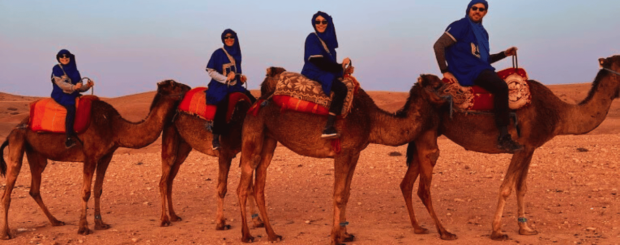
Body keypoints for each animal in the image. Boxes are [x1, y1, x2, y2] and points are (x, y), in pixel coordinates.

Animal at [0, 80, 189, 239]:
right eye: (174, 84)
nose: (188, 87)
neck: (115, 127)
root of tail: (14, 128)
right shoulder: (89, 156)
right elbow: (86, 191)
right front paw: (83, 228)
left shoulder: (106, 156)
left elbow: (98, 189)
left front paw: (100, 224)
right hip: (18, 142)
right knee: (8, 187)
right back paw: (6, 233)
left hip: (36, 154)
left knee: (34, 188)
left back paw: (55, 221)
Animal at [157, 93, 264, 230]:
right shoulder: (224, 153)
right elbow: (222, 188)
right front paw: (221, 223)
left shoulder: (245, 151)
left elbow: (248, 186)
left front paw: (257, 221)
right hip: (170, 136)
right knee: (164, 180)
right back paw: (164, 219)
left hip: (183, 146)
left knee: (170, 178)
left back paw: (174, 216)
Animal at [236, 67, 446, 245]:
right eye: (436, 84)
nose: (450, 94)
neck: (372, 120)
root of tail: (257, 102)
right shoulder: (343, 152)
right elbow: (338, 194)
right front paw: (335, 238)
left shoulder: (355, 153)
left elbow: (346, 193)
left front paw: (345, 235)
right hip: (253, 134)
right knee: (243, 184)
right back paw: (247, 235)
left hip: (269, 139)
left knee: (259, 183)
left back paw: (273, 234)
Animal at [400, 54, 620, 240]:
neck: (559, 113)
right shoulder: (521, 146)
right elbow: (506, 187)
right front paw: (497, 231)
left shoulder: (530, 148)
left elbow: (521, 187)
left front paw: (525, 228)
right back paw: (442, 231)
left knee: (406, 183)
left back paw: (418, 227)